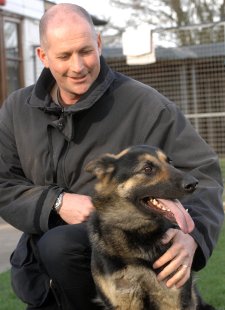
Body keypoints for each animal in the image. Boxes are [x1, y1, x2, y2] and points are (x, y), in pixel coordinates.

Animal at [85, 146, 199, 310]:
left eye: (170, 162)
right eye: (147, 169)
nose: (194, 183)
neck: (137, 232)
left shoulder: (172, 299)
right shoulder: (125, 299)